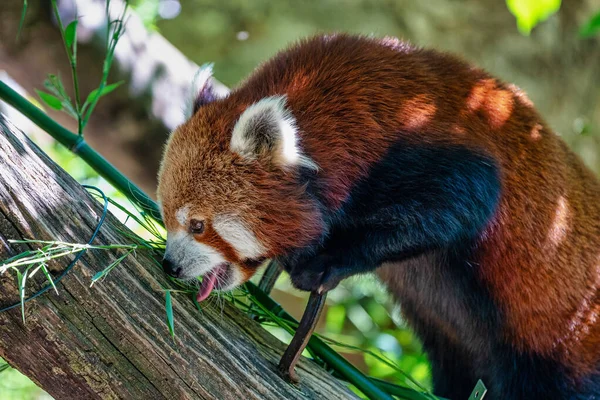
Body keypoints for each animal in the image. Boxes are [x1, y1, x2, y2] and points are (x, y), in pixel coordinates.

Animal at [156, 33, 600, 396]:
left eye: (198, 225)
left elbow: (456, 205)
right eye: (167, 216)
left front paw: (324, 262)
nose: (170, 265)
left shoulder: (437, 149)